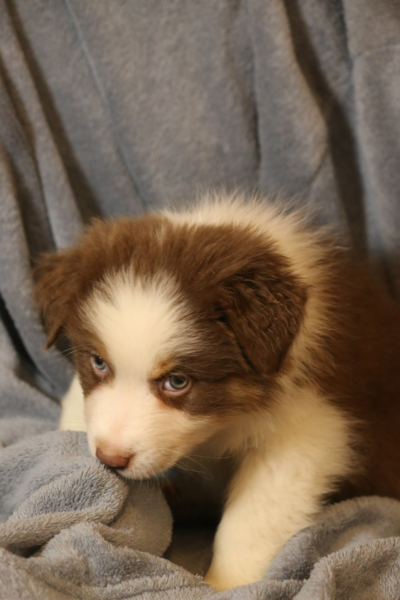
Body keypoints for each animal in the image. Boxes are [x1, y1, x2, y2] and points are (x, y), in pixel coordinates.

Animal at [33, 194, 400, 590]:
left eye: (178, 381)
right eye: (99, 362)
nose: (111, 458)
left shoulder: (308, 430)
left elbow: (254, 515)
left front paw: (224, 582)